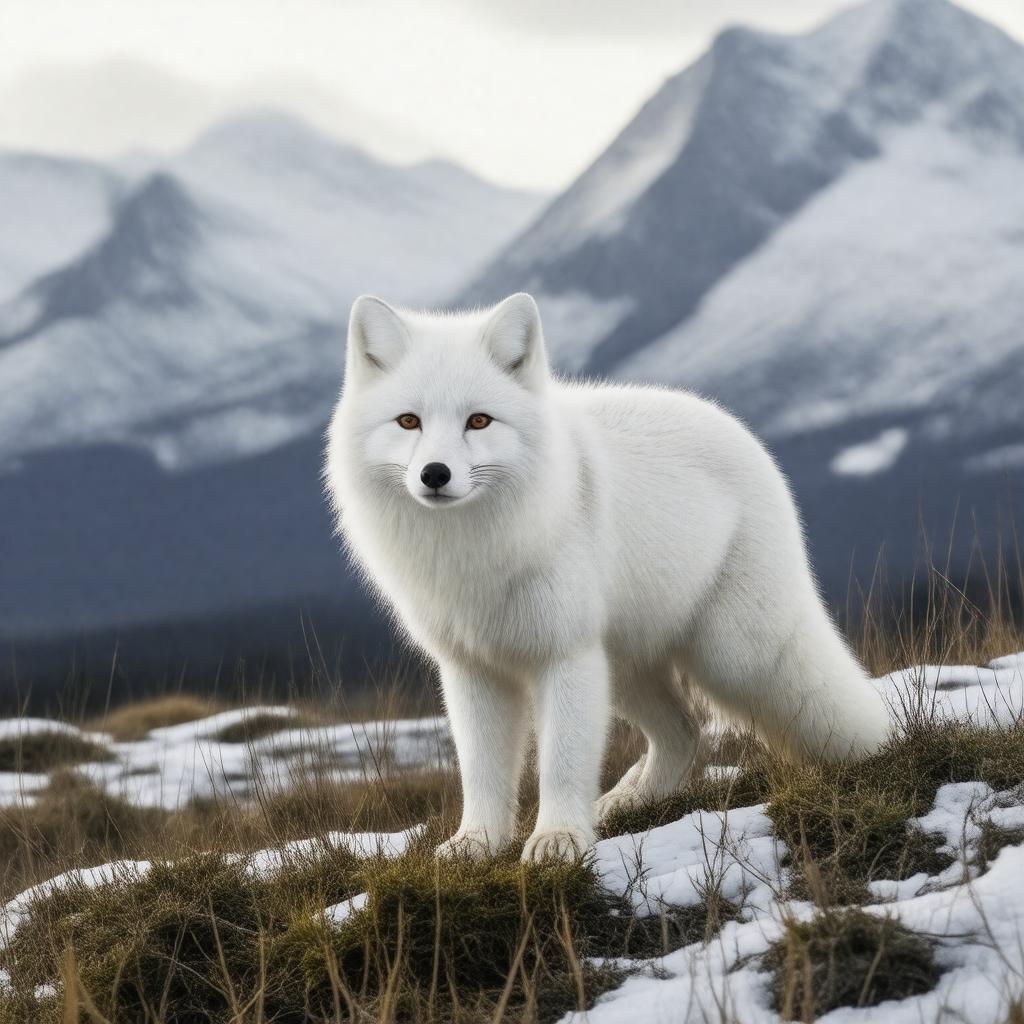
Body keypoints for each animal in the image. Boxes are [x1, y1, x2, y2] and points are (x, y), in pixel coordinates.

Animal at [324, 292, 891, 862]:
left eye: (479, 421)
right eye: (408, 421)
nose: (434, 474)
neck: (473, 552)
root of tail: (739, 429)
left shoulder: (566, 653)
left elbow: (561, 763)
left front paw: (557, 841)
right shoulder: (472, 668)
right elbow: (480, 772)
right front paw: (475, 845)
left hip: (733, 657)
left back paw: (878, 751)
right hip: (624, 670)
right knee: (684, 731)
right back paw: (630, 800)